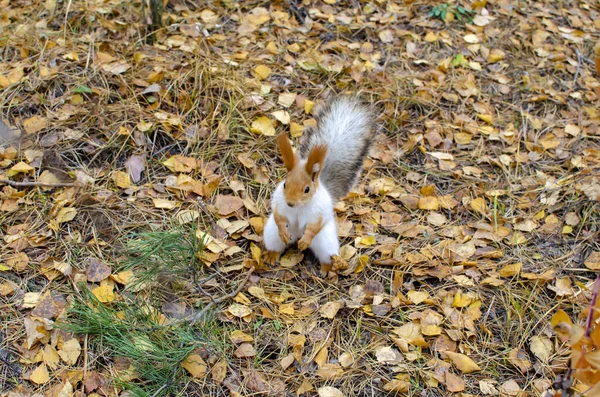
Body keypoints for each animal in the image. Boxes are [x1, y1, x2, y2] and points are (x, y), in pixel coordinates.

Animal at [264, 96, 376, 272]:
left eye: (307, 189)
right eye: (284, 184)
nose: (290, 203)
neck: (299, 208)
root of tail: (296, 235)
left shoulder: (320, 212)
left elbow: (314, 227)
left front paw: (305, 240)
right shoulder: (279, 203)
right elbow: (279, 217)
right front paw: (283, 231)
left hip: (325, 241)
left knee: (326, 254)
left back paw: (327, 267)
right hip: (271, 233)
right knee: (275, 243)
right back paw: (272, 255)